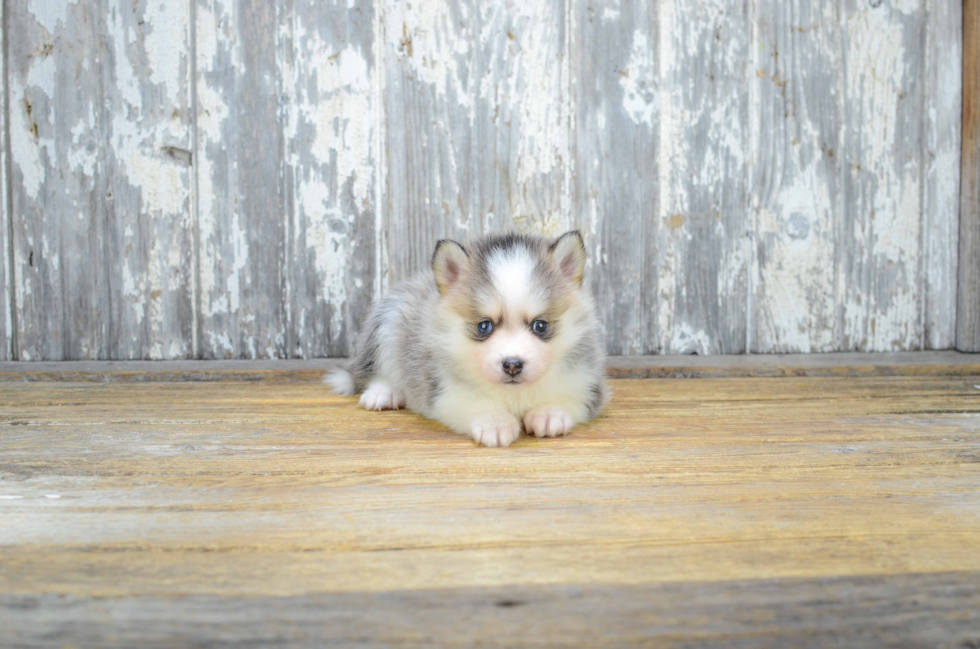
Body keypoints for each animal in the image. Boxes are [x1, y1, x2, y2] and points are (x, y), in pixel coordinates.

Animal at [326, 230, 608, 448]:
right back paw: (384, 393)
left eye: (540, 325)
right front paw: (495, 422)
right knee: (377, 371)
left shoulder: (589, 387)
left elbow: (569, 396)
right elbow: (474, 402)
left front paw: (549, 412)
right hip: (388, 322)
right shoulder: (443, 392)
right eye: (484, 326)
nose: (512, 365)